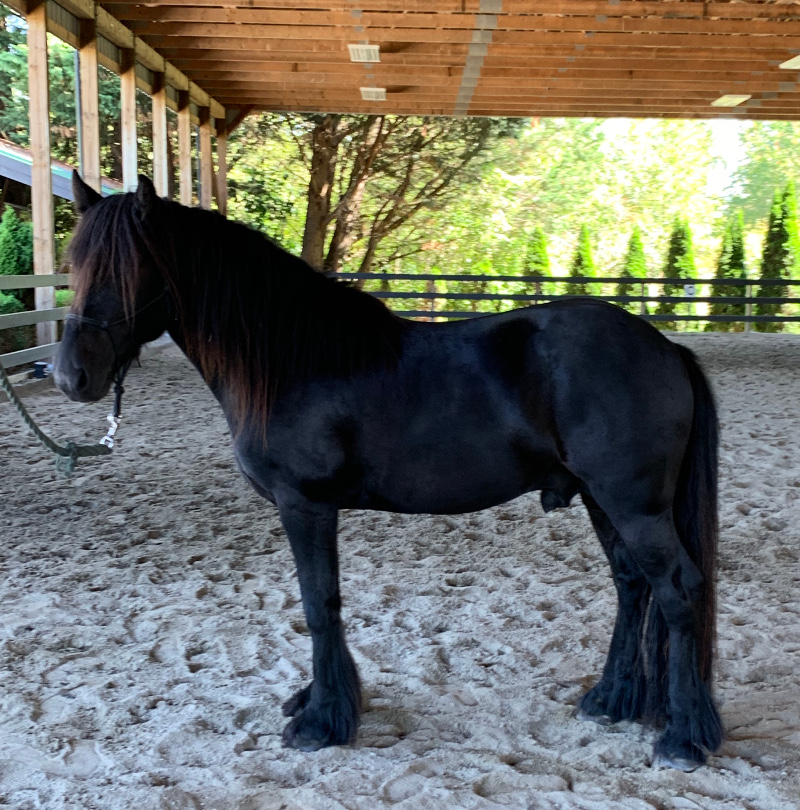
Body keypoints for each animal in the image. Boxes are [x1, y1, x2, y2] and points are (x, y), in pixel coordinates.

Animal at [53, 174, 720, 768]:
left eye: (126, 268)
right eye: (75, 264)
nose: (70, 376)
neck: (290, 360)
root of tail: (666, 348)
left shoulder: (305, 505)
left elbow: (318, 603)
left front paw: (321, 721)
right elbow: (322, 603)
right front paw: (318, 702)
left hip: (634, 506)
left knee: (678, 590)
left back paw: (683, 738)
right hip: (602, 500)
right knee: (632, 585)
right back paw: (610, 700)